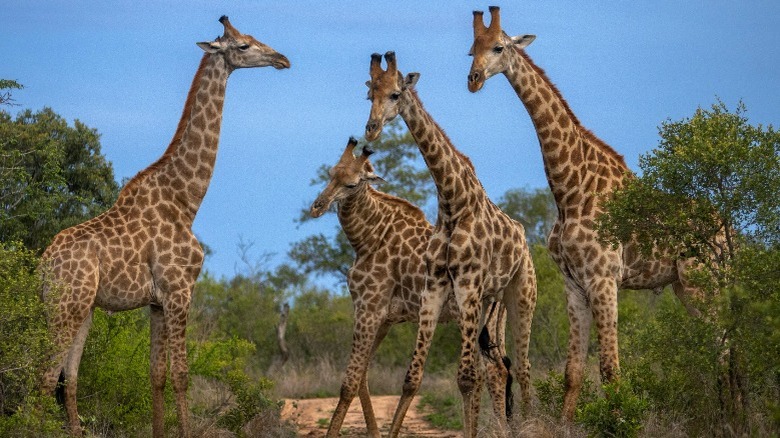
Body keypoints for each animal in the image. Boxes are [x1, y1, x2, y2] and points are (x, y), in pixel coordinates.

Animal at [39, 15, 290, 436]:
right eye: (243, 45)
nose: (282, 59)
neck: (186, 201)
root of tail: (42, 266)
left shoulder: (156, 302)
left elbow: (155, 375)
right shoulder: (179, 291)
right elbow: (181, 375)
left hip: (81, 307)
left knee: (67, 377)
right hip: (65, 304)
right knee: (43, 377)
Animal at [308, 137, 516, 438]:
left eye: (352, 184)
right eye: (330, 174)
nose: (317, 206)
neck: (367, 238)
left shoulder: (368, 307)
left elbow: (349, 382)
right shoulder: (384, 317)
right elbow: (363, 377)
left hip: (470, 316)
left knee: (487, 371)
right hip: (491, 320)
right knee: (496, 370)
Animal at [364, 52, 536, 438]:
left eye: (396, 93)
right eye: (370, 95)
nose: (371, 129)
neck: (452, 200)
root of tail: (525, 243)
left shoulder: (468, 284)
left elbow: (466, 378)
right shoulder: (435, 285)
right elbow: (412, 378)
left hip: (520, 295)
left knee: (522, 368)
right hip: (488, 305)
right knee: (501, 368)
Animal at [470, 4, 708, 420]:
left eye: (499, 46)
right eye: (472, 49)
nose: (474, 79)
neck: (570, 192)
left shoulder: (604, 279)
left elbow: (611, 370)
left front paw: (620, 422)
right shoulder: (574, 284)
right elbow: (573, 372)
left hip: (704, 280)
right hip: (683, 286)